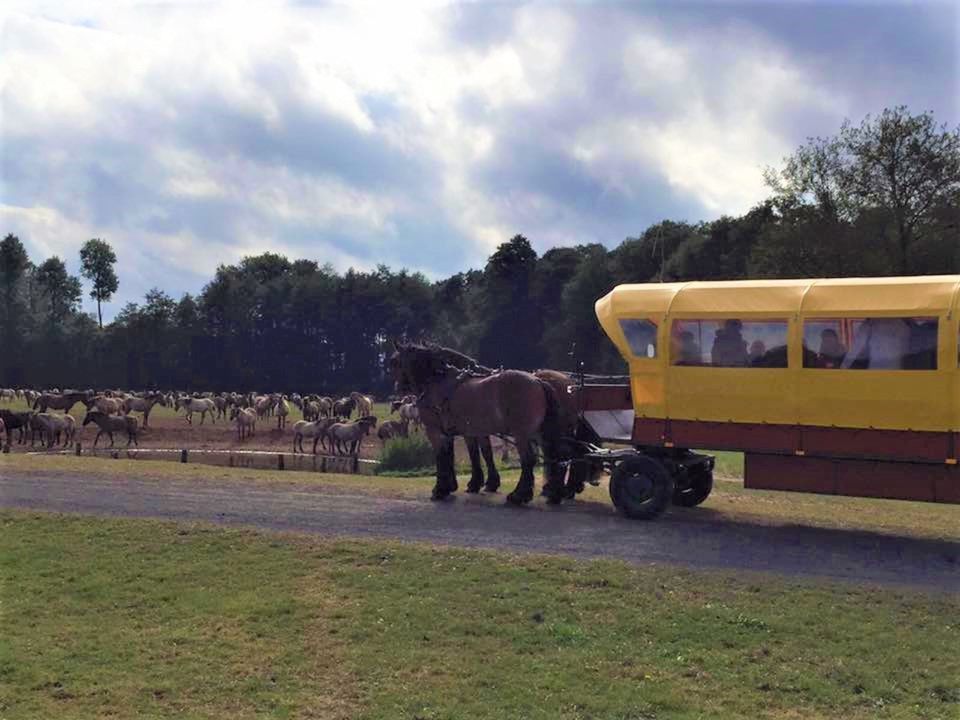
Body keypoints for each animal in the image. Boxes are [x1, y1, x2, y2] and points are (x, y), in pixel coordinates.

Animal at [386, 340, 568, 504]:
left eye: (395, 362)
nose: (397, 389)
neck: (438, 382)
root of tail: (537, 381)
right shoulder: (458, 432)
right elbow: (455, 455)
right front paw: (453, 486)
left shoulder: (435, 431)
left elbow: (442, 457)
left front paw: (440, 489)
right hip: (540, 433)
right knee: (554, 457)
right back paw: (553, 493)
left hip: (521, 434)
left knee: (529, 460)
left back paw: (519, 495)